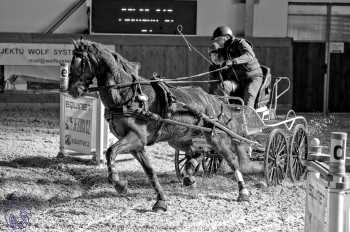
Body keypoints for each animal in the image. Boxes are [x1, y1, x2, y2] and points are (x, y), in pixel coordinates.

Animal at [68, 39, 262, 211]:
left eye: (80, 62)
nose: (71, 90)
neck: (127, 96)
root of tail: (215, 101)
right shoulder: (137, 145)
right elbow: (150, 171)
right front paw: (160, 200)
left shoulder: (136, 138)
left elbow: (110, 152)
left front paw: (118, 183)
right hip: (179, 139)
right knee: (197, 152)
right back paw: (189, 175)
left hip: (215, 138)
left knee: (231, 160)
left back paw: (243, 192)